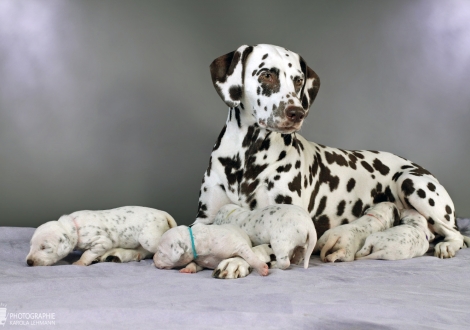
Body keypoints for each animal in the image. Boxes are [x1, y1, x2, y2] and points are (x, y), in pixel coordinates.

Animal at [26, 205, 176, 266]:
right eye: (31, 246)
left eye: (44, 247)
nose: (29, 262)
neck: (73, 226)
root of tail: (162, 213)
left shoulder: (101, 241)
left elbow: (88, 253)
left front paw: (80, 262)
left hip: (149, 238)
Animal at [193, 42, 468, 278]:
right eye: (267, 75)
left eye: (298, 80)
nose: (296, 112)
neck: (247, 157)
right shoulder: (205, 218)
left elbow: (257, 247)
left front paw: (236, 261)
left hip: (412, 183)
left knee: (454, 233)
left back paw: (448, 246)